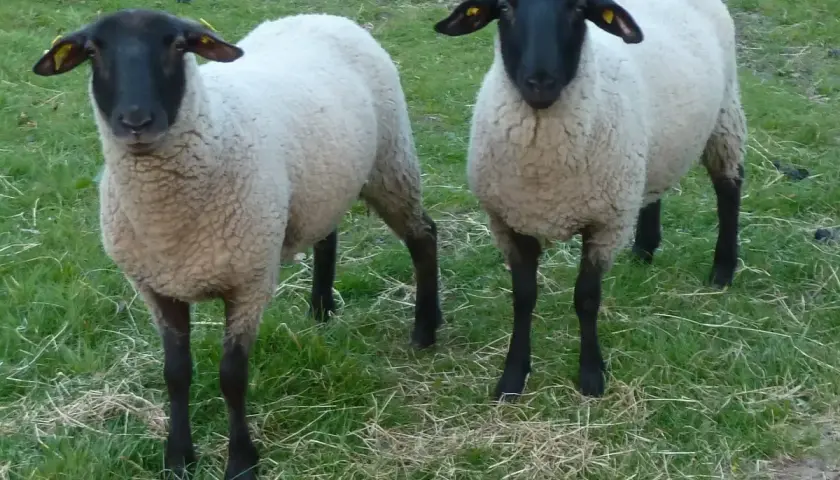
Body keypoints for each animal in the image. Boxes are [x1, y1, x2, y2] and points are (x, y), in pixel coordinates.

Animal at [32, 9, 443, 479]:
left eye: (177, 45)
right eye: (93, 52)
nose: (136, 122)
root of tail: (321, 14)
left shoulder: (249, 281)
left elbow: (232, 376)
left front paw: (242, 461)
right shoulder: (156, 288)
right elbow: (175, 372)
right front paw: (178, 457)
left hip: (391, 163)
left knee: (424, 237)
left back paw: (425, 328)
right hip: (323, 185)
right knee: (327, 234)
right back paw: (321, 309)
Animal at [432, 0, 747, 401]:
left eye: (578, 8)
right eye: (503, 7)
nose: (540, 81)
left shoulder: (604, 224)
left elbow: (586, 298)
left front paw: (591, 375)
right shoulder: (510, 222)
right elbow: (523, 297)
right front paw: (512, 377)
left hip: (726, 115)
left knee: (729, 188)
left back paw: (723, 268)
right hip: (649, 152)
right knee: (654, 188)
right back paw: (644, 249)